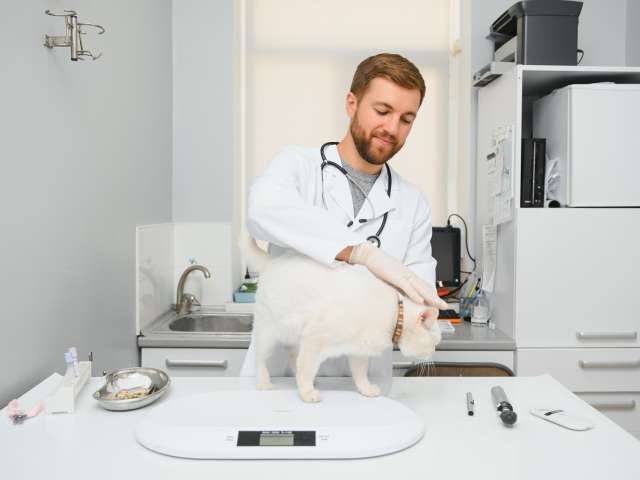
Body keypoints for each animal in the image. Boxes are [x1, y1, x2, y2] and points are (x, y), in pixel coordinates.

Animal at [245, 240, 440, 402]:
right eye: (435, 342)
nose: (433, 354)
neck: (394, 315)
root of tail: (272, 262)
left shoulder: (358, 352)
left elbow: (360, 374)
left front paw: (366, 390)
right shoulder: (314, 339)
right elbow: (307, 369)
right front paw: (307, 393)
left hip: (293, 335)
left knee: (293, 358)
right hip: (267, 332)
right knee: (260, 359)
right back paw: (264, 383)